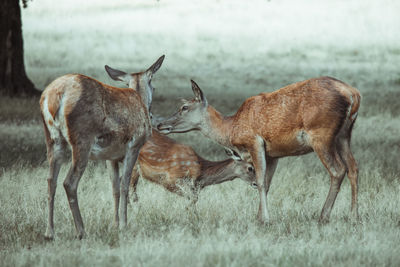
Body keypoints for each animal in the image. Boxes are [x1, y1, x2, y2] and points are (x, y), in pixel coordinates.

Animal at [39, 55, 165, 240]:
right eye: (153, 85)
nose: (151, 112)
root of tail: (53, 97)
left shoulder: (110, 156)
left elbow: (114, 188)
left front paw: (115, 225)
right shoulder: (134, 145)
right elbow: (125, 185)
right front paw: (124, 225)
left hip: (52, 140)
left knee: (50, 181)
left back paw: (50, 232)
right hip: (82, 139)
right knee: (69, 182)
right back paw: (81, 231)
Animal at [130, 129, 258, 203]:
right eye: (250, 168)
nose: (256, 183)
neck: (200, 172)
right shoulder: (170, 179)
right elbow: (192, 199)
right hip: (134, 167)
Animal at [157, 76, 362, 225]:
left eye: (184, 107)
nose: (160, 124)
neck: (232, 129)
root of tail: (354, 95)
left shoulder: (254, 141)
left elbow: (260, 181)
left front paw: (265, 220)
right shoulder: (274, 153)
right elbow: (268, 182)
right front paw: (259, 217)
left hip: (321, 134)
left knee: (338, 170)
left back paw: (323, 216)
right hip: (344, 134)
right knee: (353, 167)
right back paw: (354, 216)